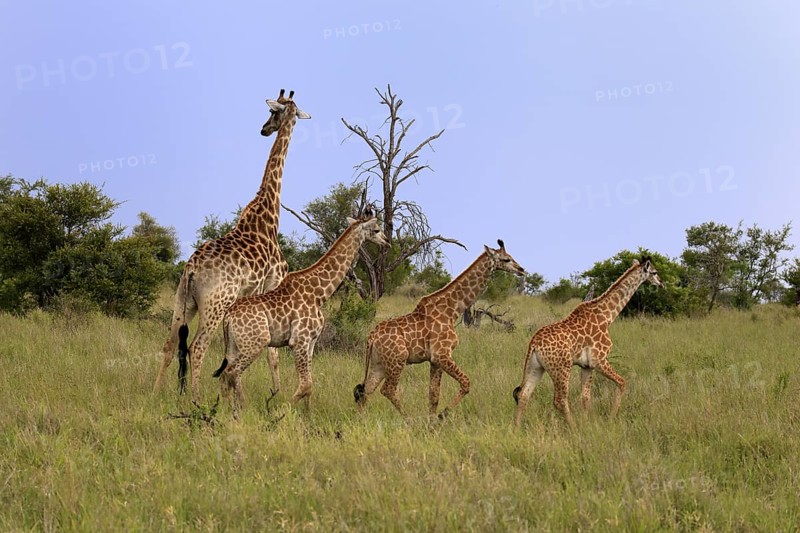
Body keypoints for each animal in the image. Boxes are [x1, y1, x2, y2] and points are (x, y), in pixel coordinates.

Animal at [153, 89, 310, 401]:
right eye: (273, 112)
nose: (263, 129)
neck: (269, 214)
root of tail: (191, 269)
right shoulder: (272, 284)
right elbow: (272, 353)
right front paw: (274, 393)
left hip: (182, 301)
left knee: (169, 344)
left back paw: (154, 391)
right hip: (215, 305)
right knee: (197, 347)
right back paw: (196, 399)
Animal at [211, 212, 388, 415]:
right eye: (377, 229)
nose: (387, 241)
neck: (319, 294)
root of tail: (228, 317)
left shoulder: (311, 342)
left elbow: (309, 385)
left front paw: (307, 416)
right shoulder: (300, 341)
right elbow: (305, 385)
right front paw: (279, 412)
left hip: (234, 345)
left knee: (228, 376)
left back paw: (228, 410)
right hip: (255, 343)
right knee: (231, 373)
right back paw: (239, 410)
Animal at [353, 240, 525, 418]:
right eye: (506, 259)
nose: (521, 270)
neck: (452, 310)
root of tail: (371, 337)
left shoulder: (434, 360)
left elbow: (433, 395)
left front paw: (433, 420)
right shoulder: (442, 355)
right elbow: (465, 382)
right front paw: (442, 415)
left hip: (379, 363)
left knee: (366, 390)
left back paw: (360, 420)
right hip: (398, 359)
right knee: (387, 390)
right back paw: (409, 419)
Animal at [512, 257, 663, 428]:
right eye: (654, 272)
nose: (661, 282)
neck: (607, 317)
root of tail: (534, 343)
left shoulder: (587, 366)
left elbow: (585, 398)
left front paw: (586, 424)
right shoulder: (599, 360)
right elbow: (622, 383)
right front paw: (610, 419)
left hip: (536, 367)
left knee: (524, 395)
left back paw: (516, 428)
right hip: (561, 368)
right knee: (559, 400)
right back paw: (573, 427)